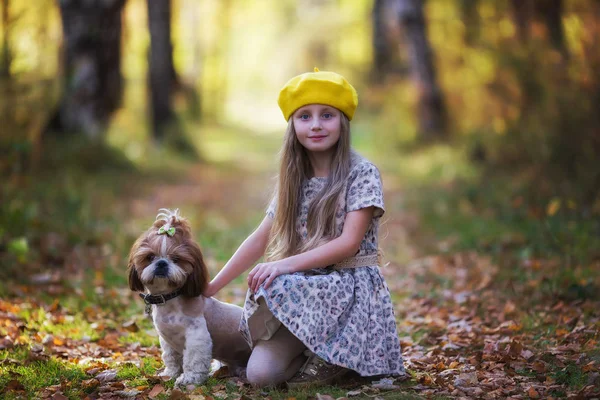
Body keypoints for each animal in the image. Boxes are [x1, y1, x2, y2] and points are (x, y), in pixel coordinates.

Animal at [129, 209, 251, 388]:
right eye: (150, 257)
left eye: (176, 259)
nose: (162, 263)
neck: (170, 300)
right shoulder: (167, 341)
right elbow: (171, 358)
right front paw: (170, 374)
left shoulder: (197, 337)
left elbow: (193, 360)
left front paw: (189, 379)